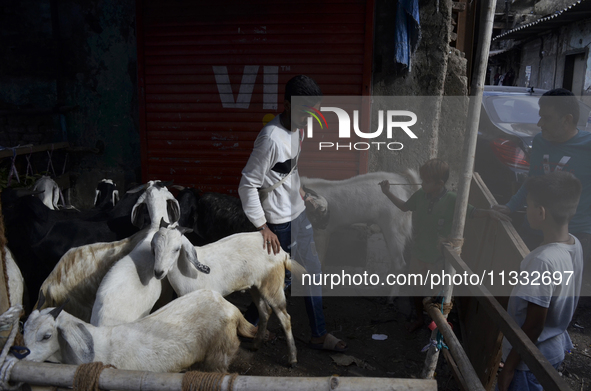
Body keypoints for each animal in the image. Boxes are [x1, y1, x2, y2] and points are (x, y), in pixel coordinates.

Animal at [151, 224, 306, 368]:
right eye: (154, 248)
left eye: (177, 249)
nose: (158, 272)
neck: (187, 272)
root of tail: (283, 253)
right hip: (256, 287)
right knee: (265, 312)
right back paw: (255, 345)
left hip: (273, 286)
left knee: (285, 318)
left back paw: (292, 359)